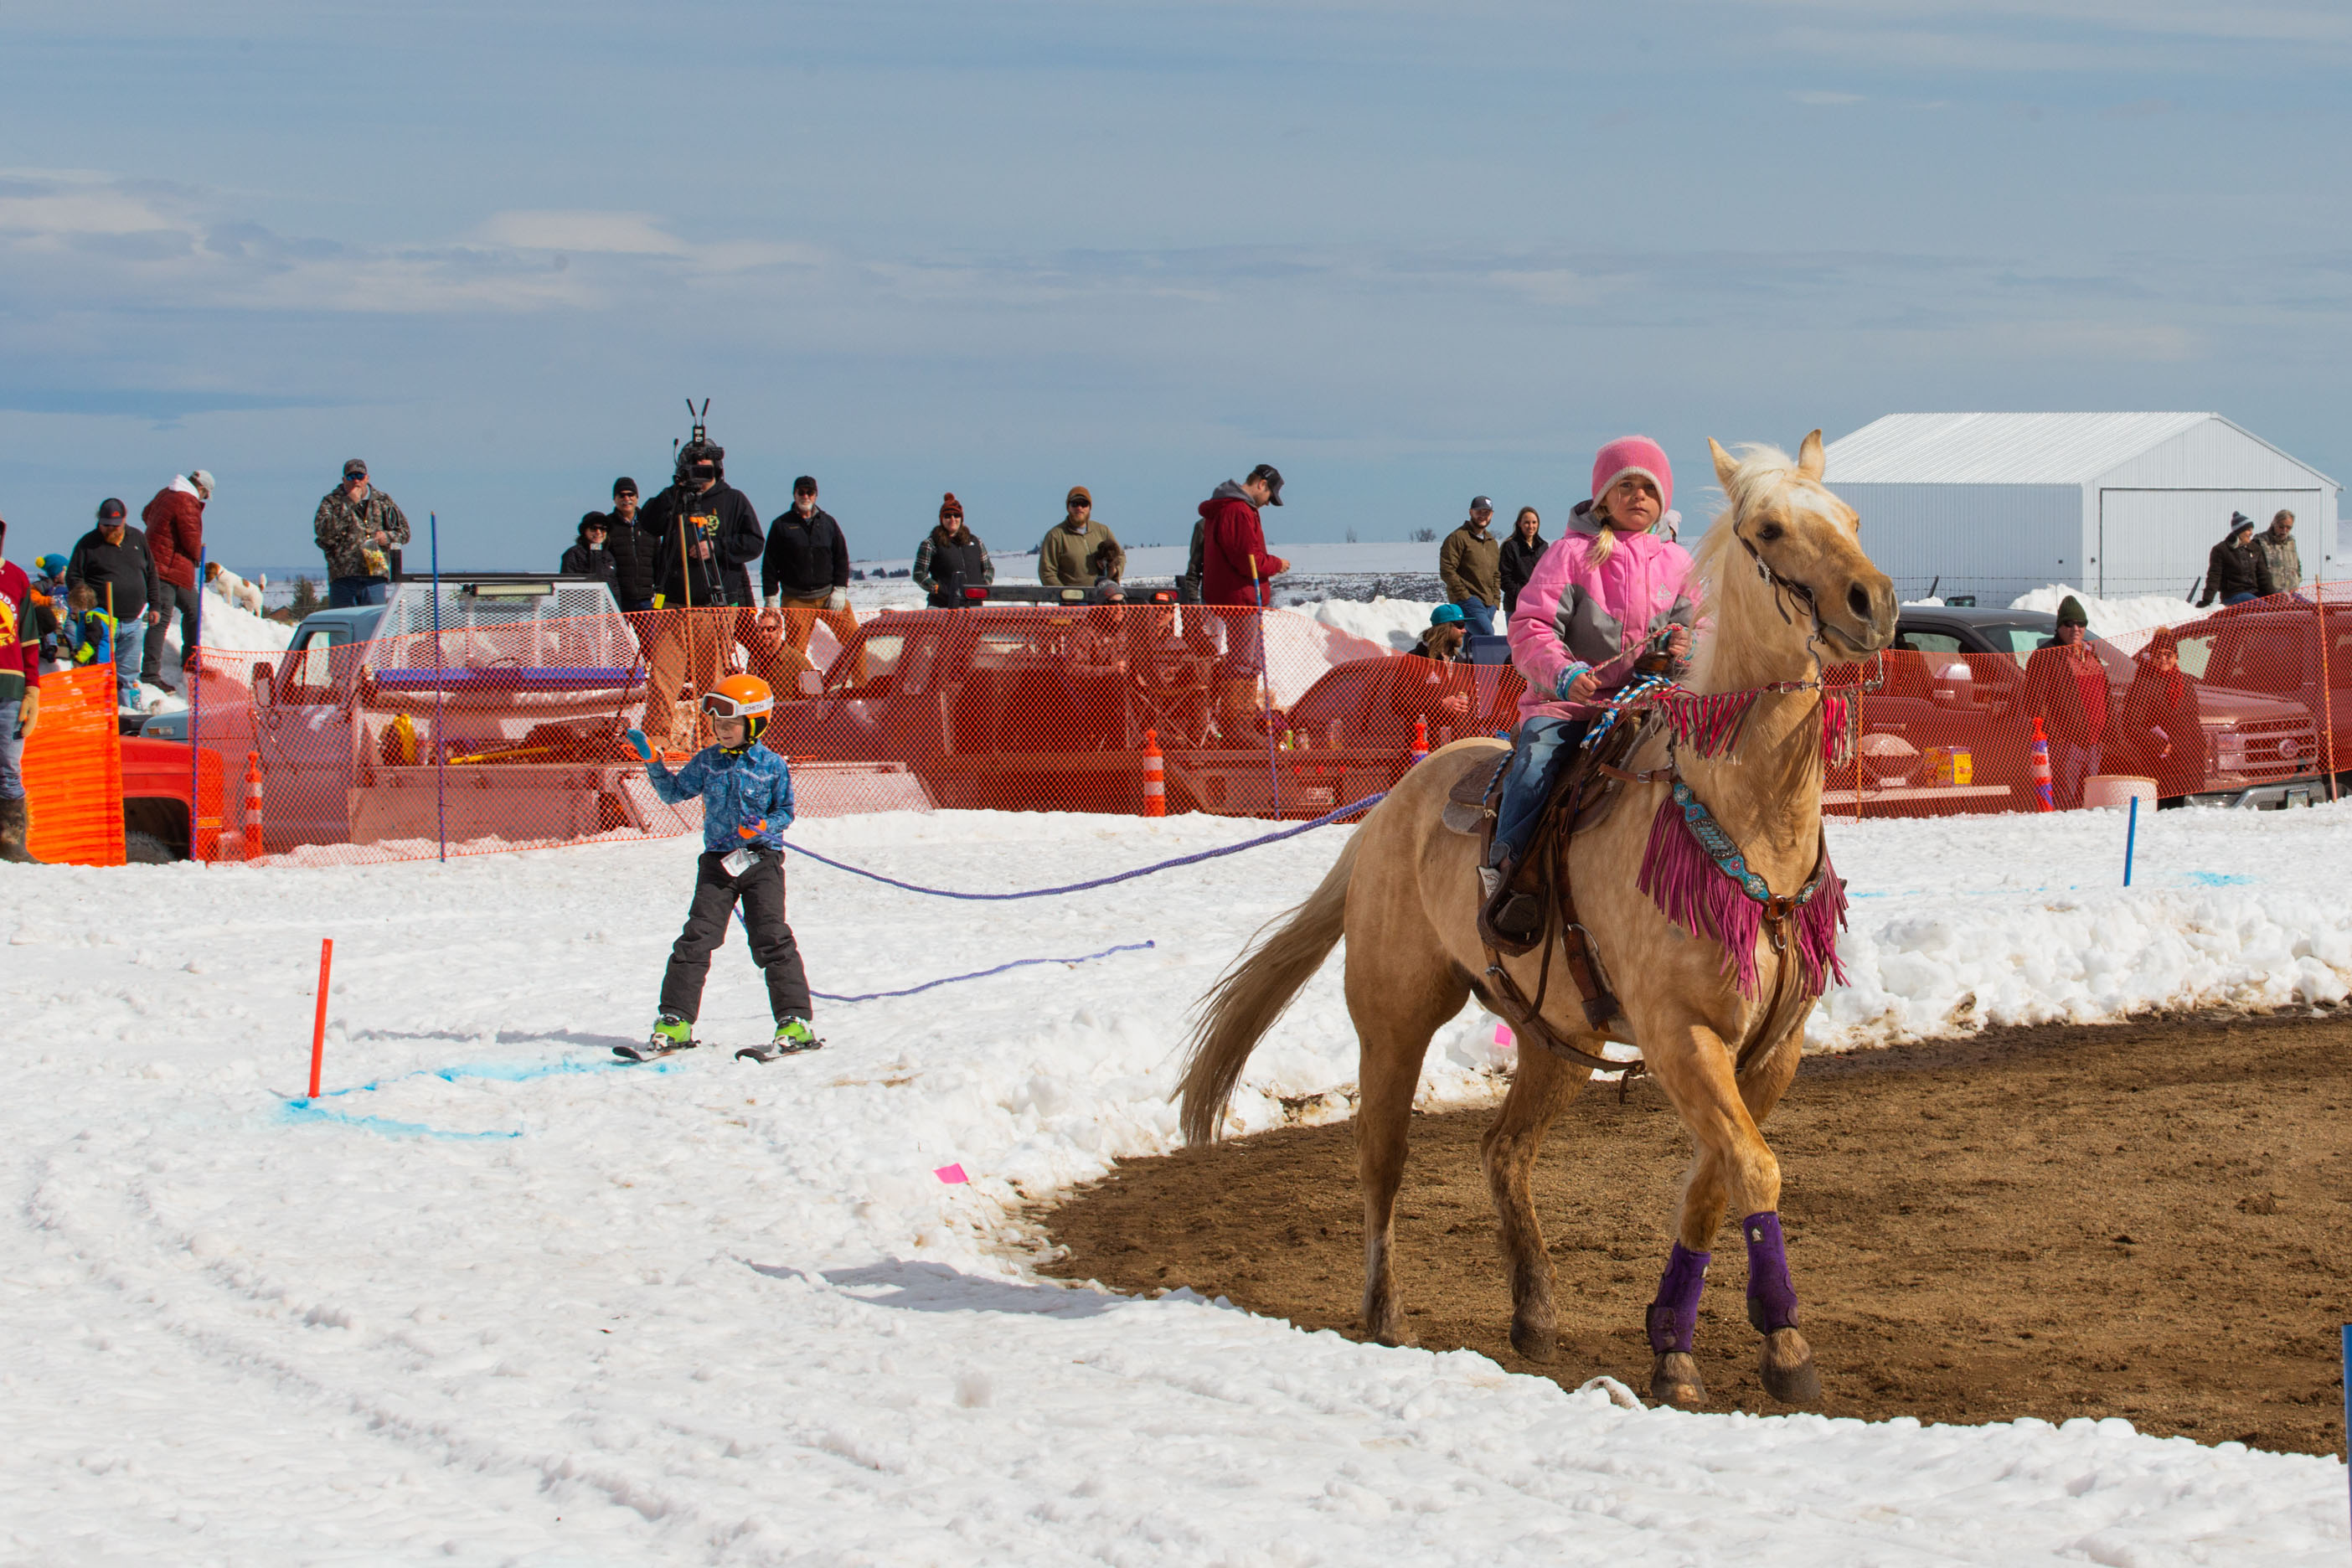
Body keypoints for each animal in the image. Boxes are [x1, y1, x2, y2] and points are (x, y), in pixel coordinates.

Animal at [1176, 432, 1890, 1410]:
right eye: (1771, 529)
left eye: (1851, 518)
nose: (1874, 603)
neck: (1744, 817)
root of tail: (1387, 810)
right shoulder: (1680, 1033)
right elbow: (1751, 1168)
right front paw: (1784, 1347)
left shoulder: (1771, 1047)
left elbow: (1714, 1181)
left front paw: (1672, 1344)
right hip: (1395, 1020)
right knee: (1381, 1157)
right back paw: (1386, 1312)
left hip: (1558, 1041)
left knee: (1504, 1151)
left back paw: (1536, 1311)